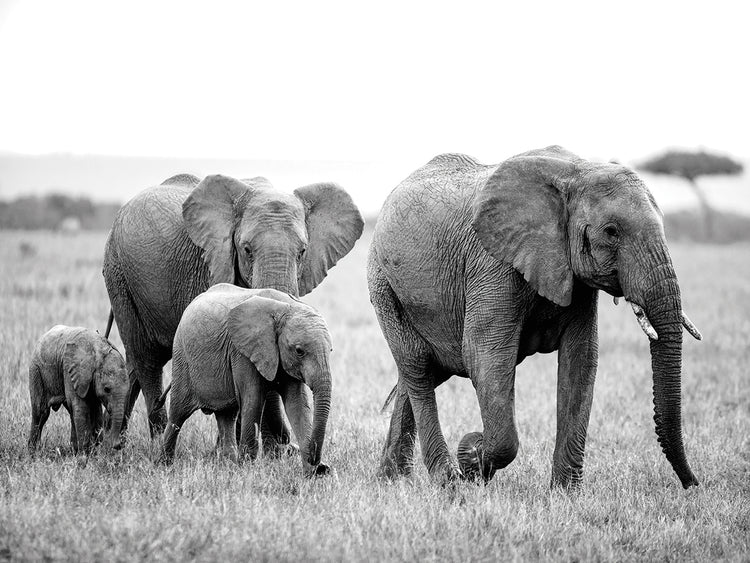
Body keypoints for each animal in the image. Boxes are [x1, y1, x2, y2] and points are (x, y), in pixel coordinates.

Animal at [103, 173, 363, 450]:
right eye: (247, 250)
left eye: (302, 252)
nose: (287, 442)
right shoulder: (212, 263)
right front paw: (271, 450)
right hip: (120, 275)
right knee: (146, 359)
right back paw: (151, 440)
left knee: (133, 363)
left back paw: (111, 442)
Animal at [160, 284, 333, 476]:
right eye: (299, 351)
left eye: (331, 350)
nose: (319, 463)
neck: (285, 308)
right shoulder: (242, 352)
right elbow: (253, 400)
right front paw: (248, 471)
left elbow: (298, 405)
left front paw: (312, 474)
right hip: (182, 359)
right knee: (177, 415)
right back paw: (164, 465)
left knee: (226, 416)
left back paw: (229, 465)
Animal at [368, 146, 702, 489]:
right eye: (612, 232)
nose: (694, 484)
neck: (578, 170)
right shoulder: (492, 263)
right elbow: (484, 355)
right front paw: (472, 458)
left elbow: (581, 360)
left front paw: (565, 493)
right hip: (383, 282)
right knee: (419, 367)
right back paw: (445, 479)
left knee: (423, 372)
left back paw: (392, 478)